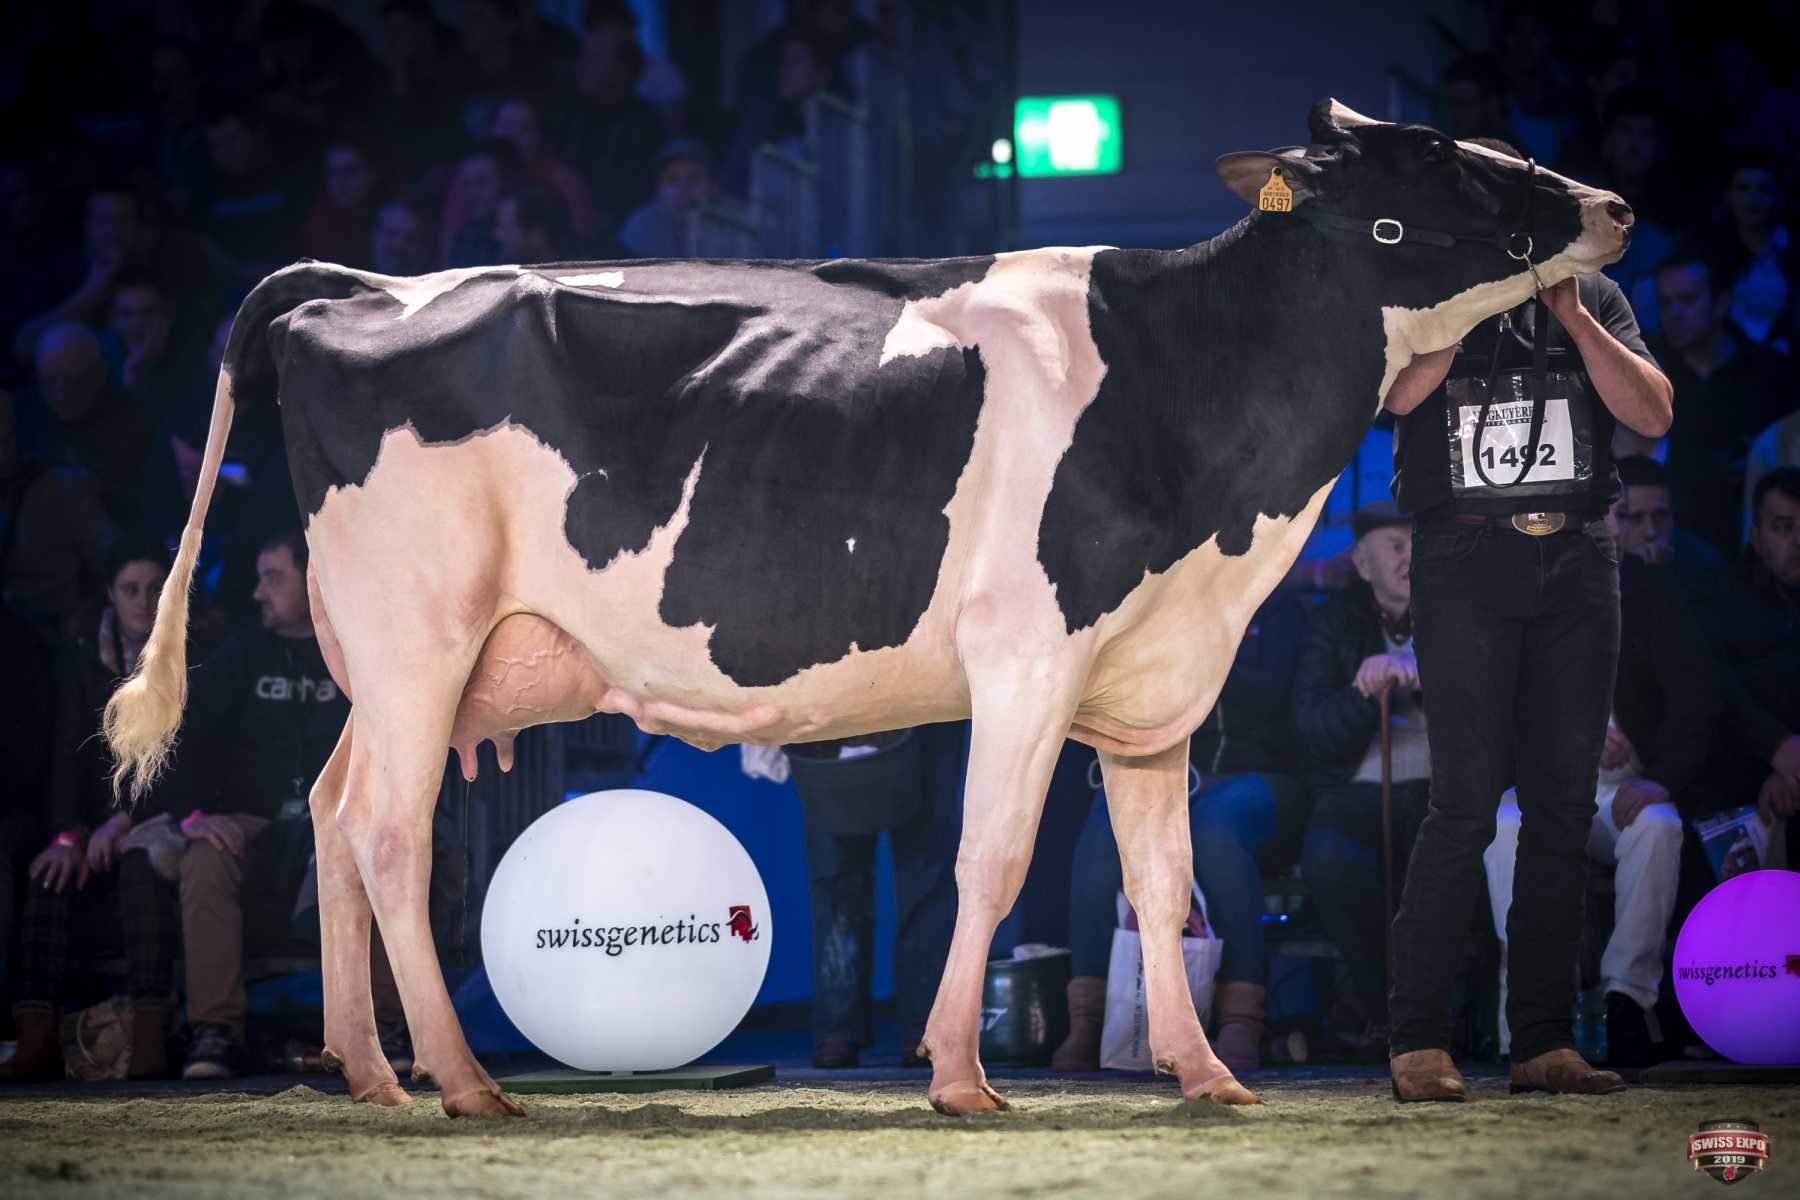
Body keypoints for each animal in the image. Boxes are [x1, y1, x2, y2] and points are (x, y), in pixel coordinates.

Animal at [105, 99, 1632, 1118]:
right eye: (1439, 159)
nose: (1613, 204)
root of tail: (367, 283)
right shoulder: (1026, 654)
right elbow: (992, 862)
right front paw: (957, 1074)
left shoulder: (1156, 685)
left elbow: (1164, 882)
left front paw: (1204, 1074)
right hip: (418, 636)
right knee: (389, 832)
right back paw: (467, 1081)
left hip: (393, 663)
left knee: (324, 808)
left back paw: (371, 1073)